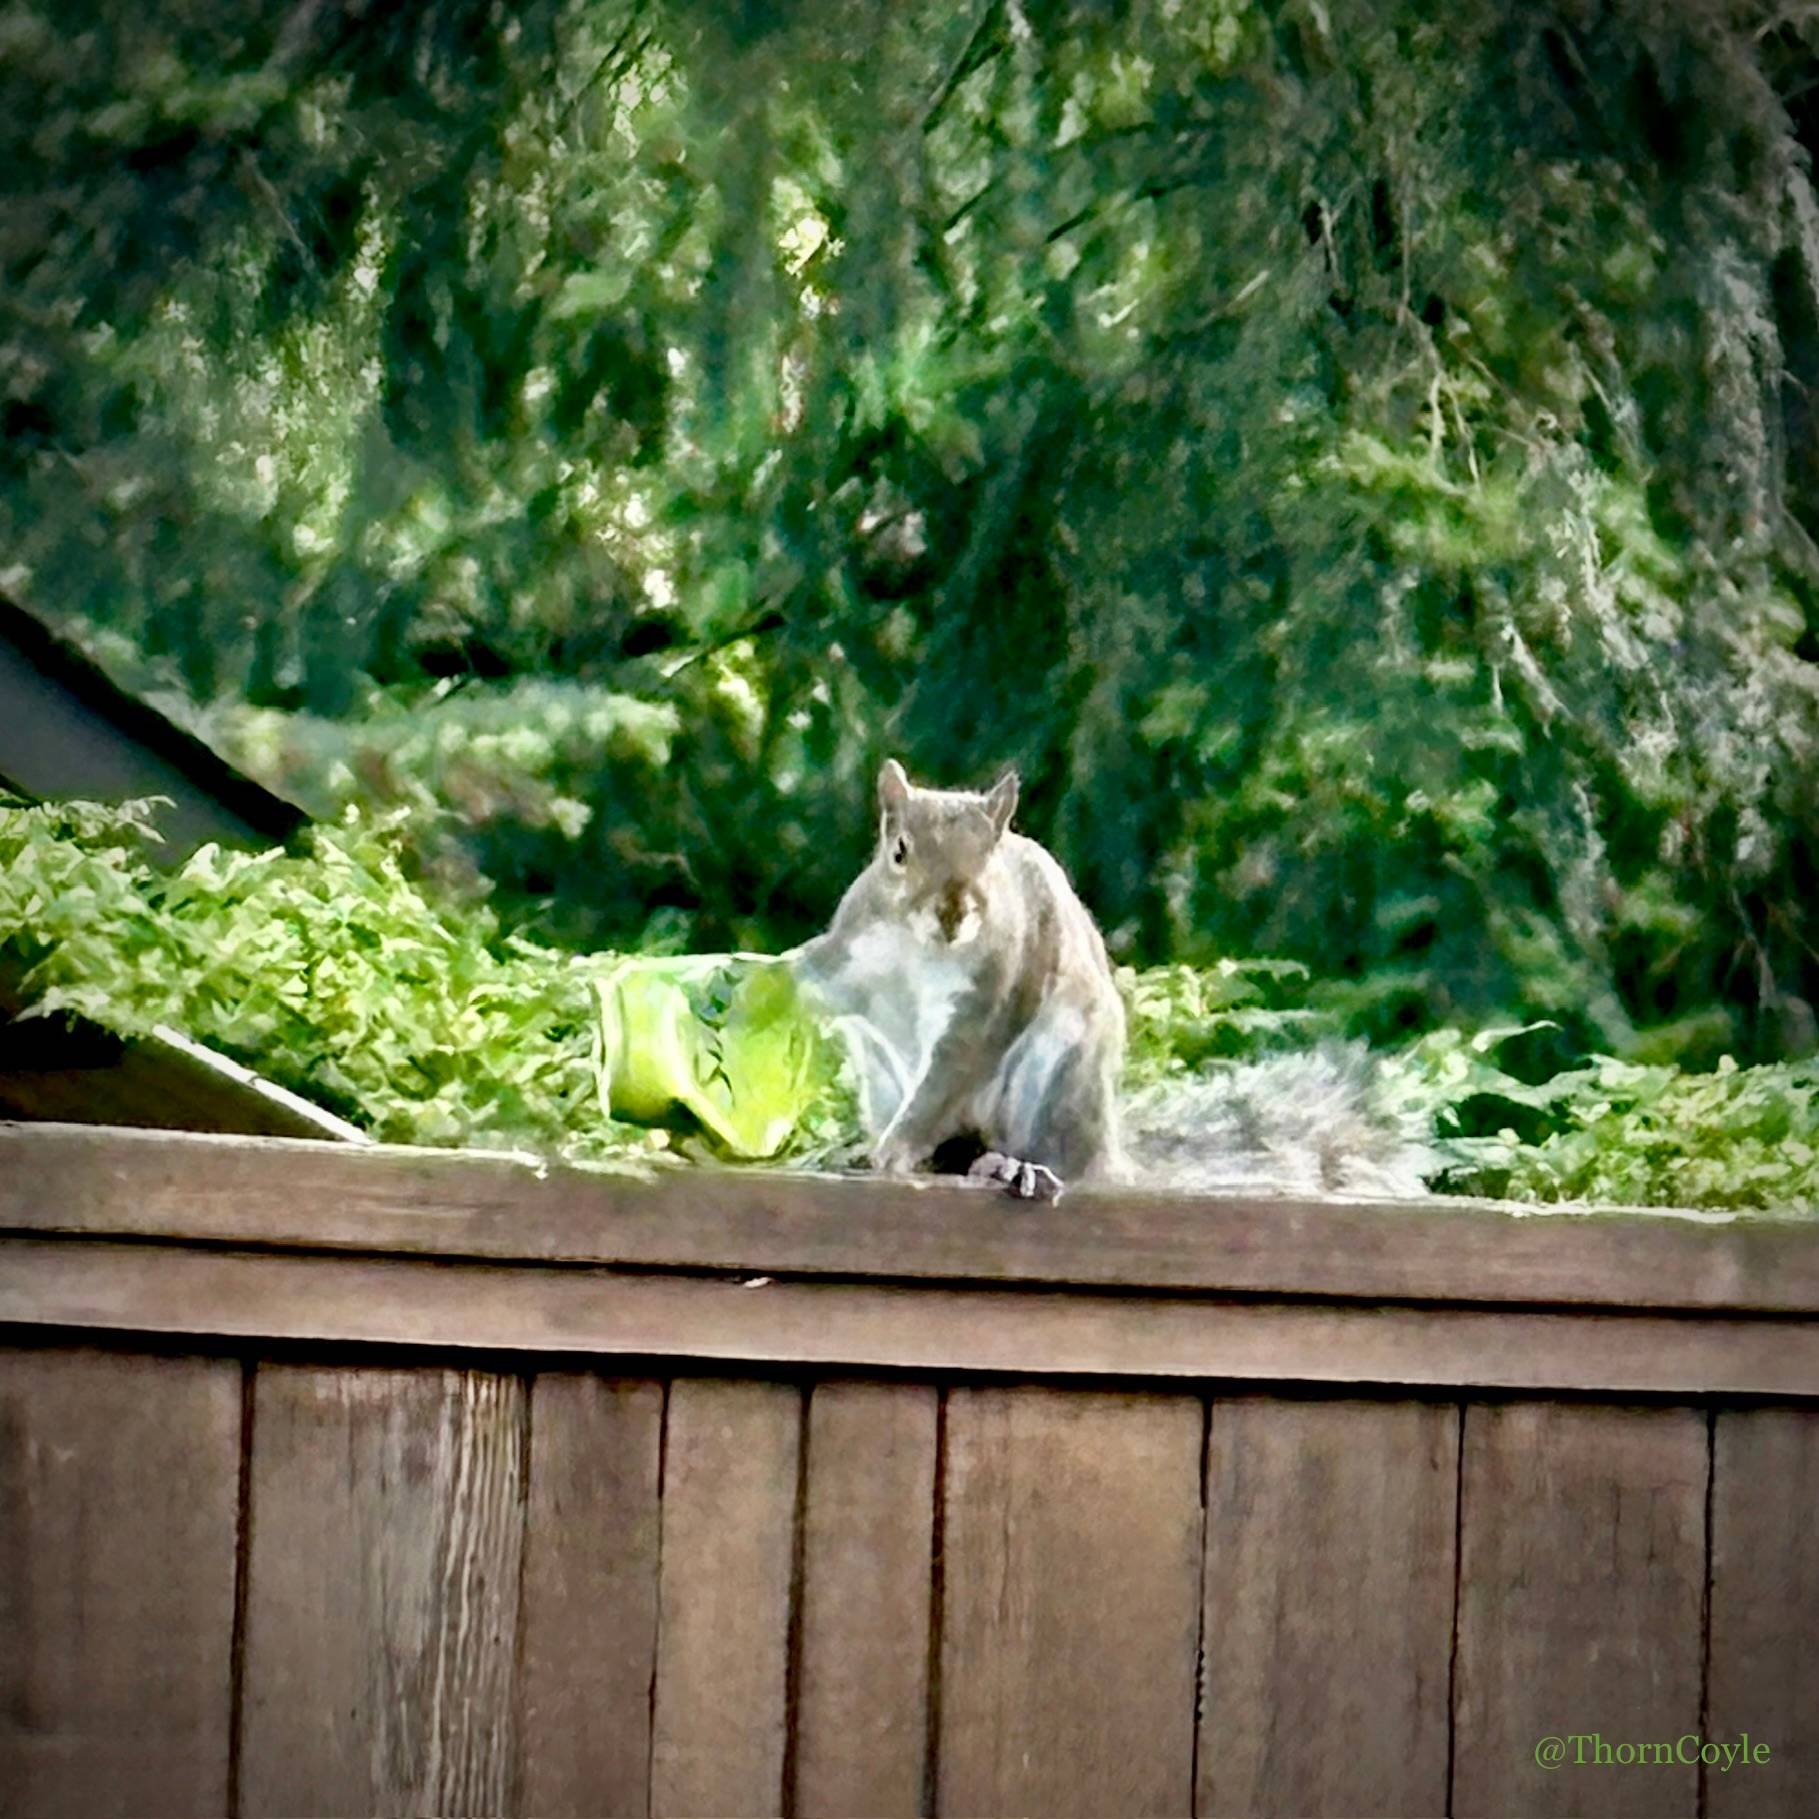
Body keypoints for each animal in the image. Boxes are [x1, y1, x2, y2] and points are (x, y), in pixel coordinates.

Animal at [789, 759, 1437, 1201]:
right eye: (899, 852)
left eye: (992, 856)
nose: (953, 912)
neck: (921, 949)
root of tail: (1110, 1152)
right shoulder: (850, 955)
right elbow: (813, 980)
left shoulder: (990, 998)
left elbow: (948, 1076)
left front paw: (894, 1150)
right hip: (883, 1080)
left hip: (1056, 1082)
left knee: (1033, 1153)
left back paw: (1009, 1166)